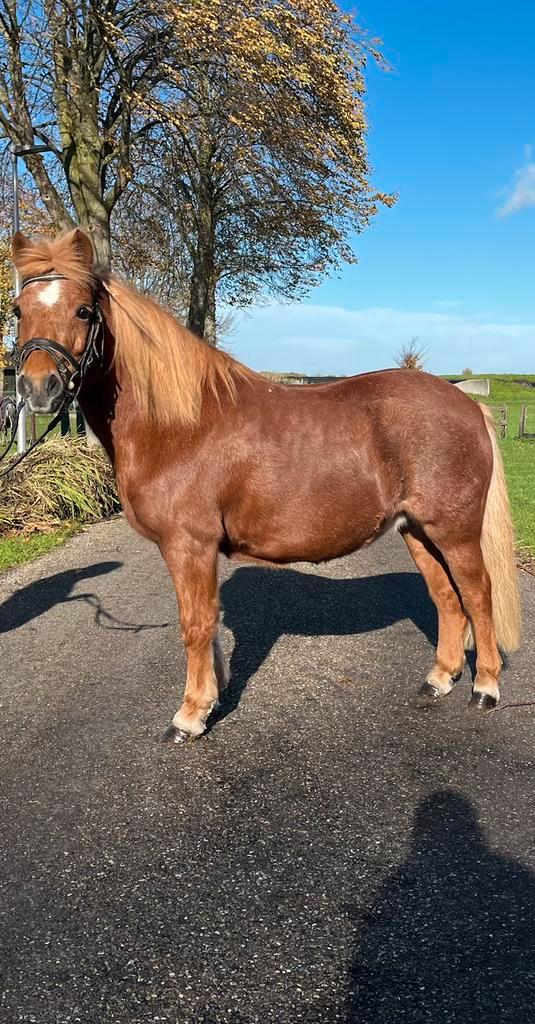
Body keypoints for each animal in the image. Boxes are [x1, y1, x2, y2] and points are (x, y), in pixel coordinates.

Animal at [10, 228, 520, 740]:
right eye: (18, 309)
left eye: (83, 310)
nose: (37, 388)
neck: (179, 425)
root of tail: (467, 403)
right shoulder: (198, 549)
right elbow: (209, 622)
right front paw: (211, 697)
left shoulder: (188, 544)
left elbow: (195, 624)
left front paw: (190, 716)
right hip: (415, 529)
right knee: (447, 599)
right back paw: (439, 680)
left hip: (454, 531)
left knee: (478, 595)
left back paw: (485, 688)